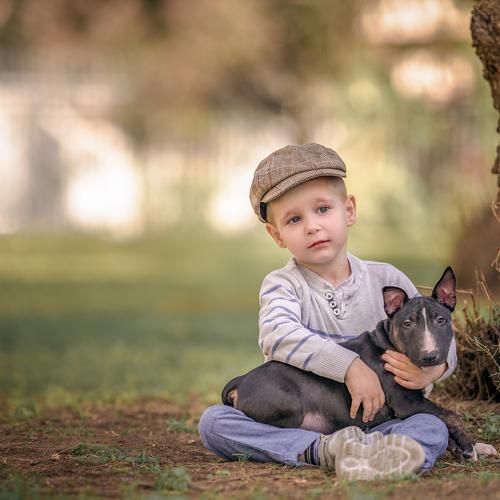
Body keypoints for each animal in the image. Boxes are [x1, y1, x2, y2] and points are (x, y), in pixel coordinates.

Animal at [222, 267, 497, 460]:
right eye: (407, 323)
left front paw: (475, 447)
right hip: (288, 407)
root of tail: (241, 380)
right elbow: (450, 415)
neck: (390, 342)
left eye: (441, 320)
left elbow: (445, 418)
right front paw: (468, 447)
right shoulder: (407, 402)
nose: (430, 356)